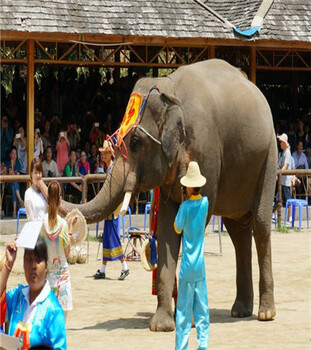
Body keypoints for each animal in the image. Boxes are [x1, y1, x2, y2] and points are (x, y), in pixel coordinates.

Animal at [61, 59, 278, 330]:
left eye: (135, 142)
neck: (170, 91)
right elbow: (166, 227)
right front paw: (162, 325)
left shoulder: (205, 152)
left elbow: (192, 225)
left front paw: (188, 321)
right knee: (238, 232)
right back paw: (239, 311)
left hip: (268, 158)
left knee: (260, 225)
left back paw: (265, 313)